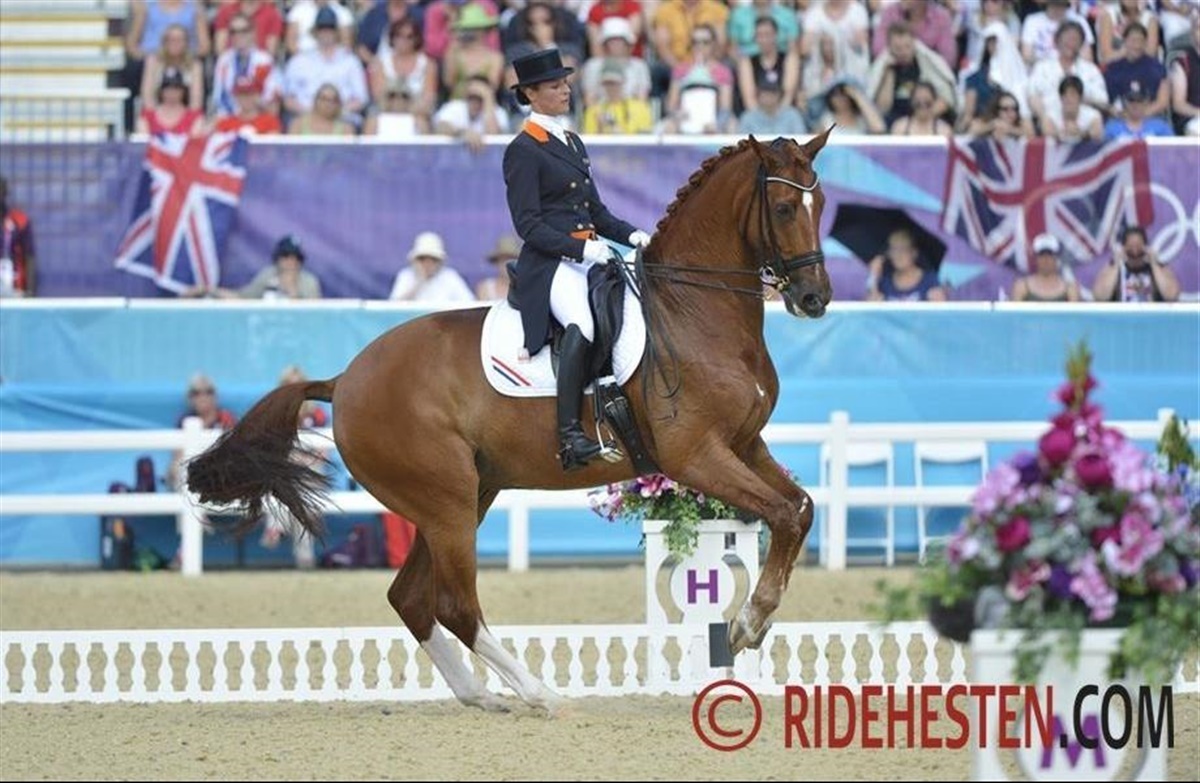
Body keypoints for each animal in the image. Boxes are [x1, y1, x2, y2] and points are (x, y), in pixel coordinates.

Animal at [186, 128, 835, 711]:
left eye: (820, 203)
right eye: (783, 208)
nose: (815, 299)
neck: (692, 310)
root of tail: (345, 379)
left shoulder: (744, 445)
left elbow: (800, 508)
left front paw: (753, 620)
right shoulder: (696, 455)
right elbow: (781, 513)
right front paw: (748, 623)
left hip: (464, 496)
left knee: (412, 598)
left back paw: (481, 694)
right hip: (447, 502)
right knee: (454, 605)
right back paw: (539, 693)